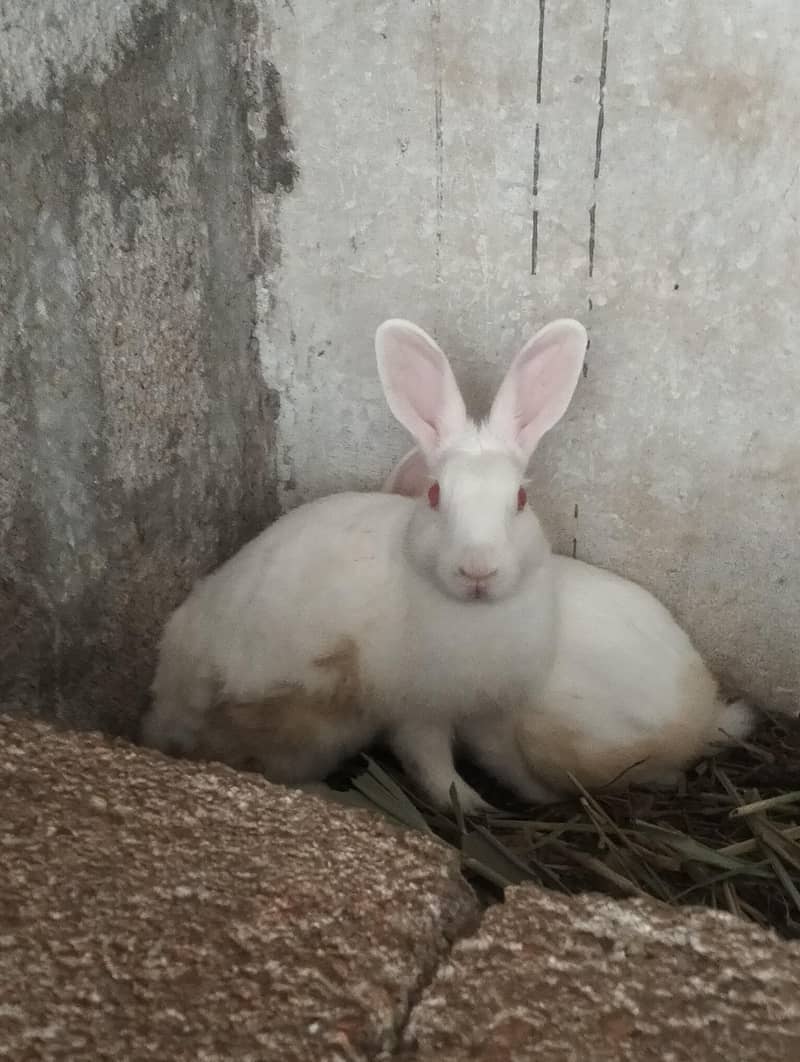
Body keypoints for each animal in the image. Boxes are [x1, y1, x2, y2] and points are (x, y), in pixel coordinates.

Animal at [140, 317, 595, 813]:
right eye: (435, 496)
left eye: (521, 499)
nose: (478, 570)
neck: (473, 614)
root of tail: (163, 713)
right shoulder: (416, 713)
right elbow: (432, 765)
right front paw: (473, 807)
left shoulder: (488, 712)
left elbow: (506, 759)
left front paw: (537, 796)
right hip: (301, 720)